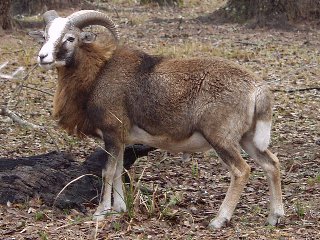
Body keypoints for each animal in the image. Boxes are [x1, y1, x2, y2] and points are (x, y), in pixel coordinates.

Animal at [31, 9, 284, 229]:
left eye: (70, 38)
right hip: (247, 139)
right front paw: (120, 209)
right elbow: (119, 170)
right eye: (45, 36)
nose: (43, 57)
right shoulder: (120, 140)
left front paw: (100, 214)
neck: (97, 75)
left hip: (222, 139)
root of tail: (257, 88)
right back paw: (274, 217)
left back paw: (219, 220)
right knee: (271, 164)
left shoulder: (112, 134)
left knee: (242, 171)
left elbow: (108, 172)